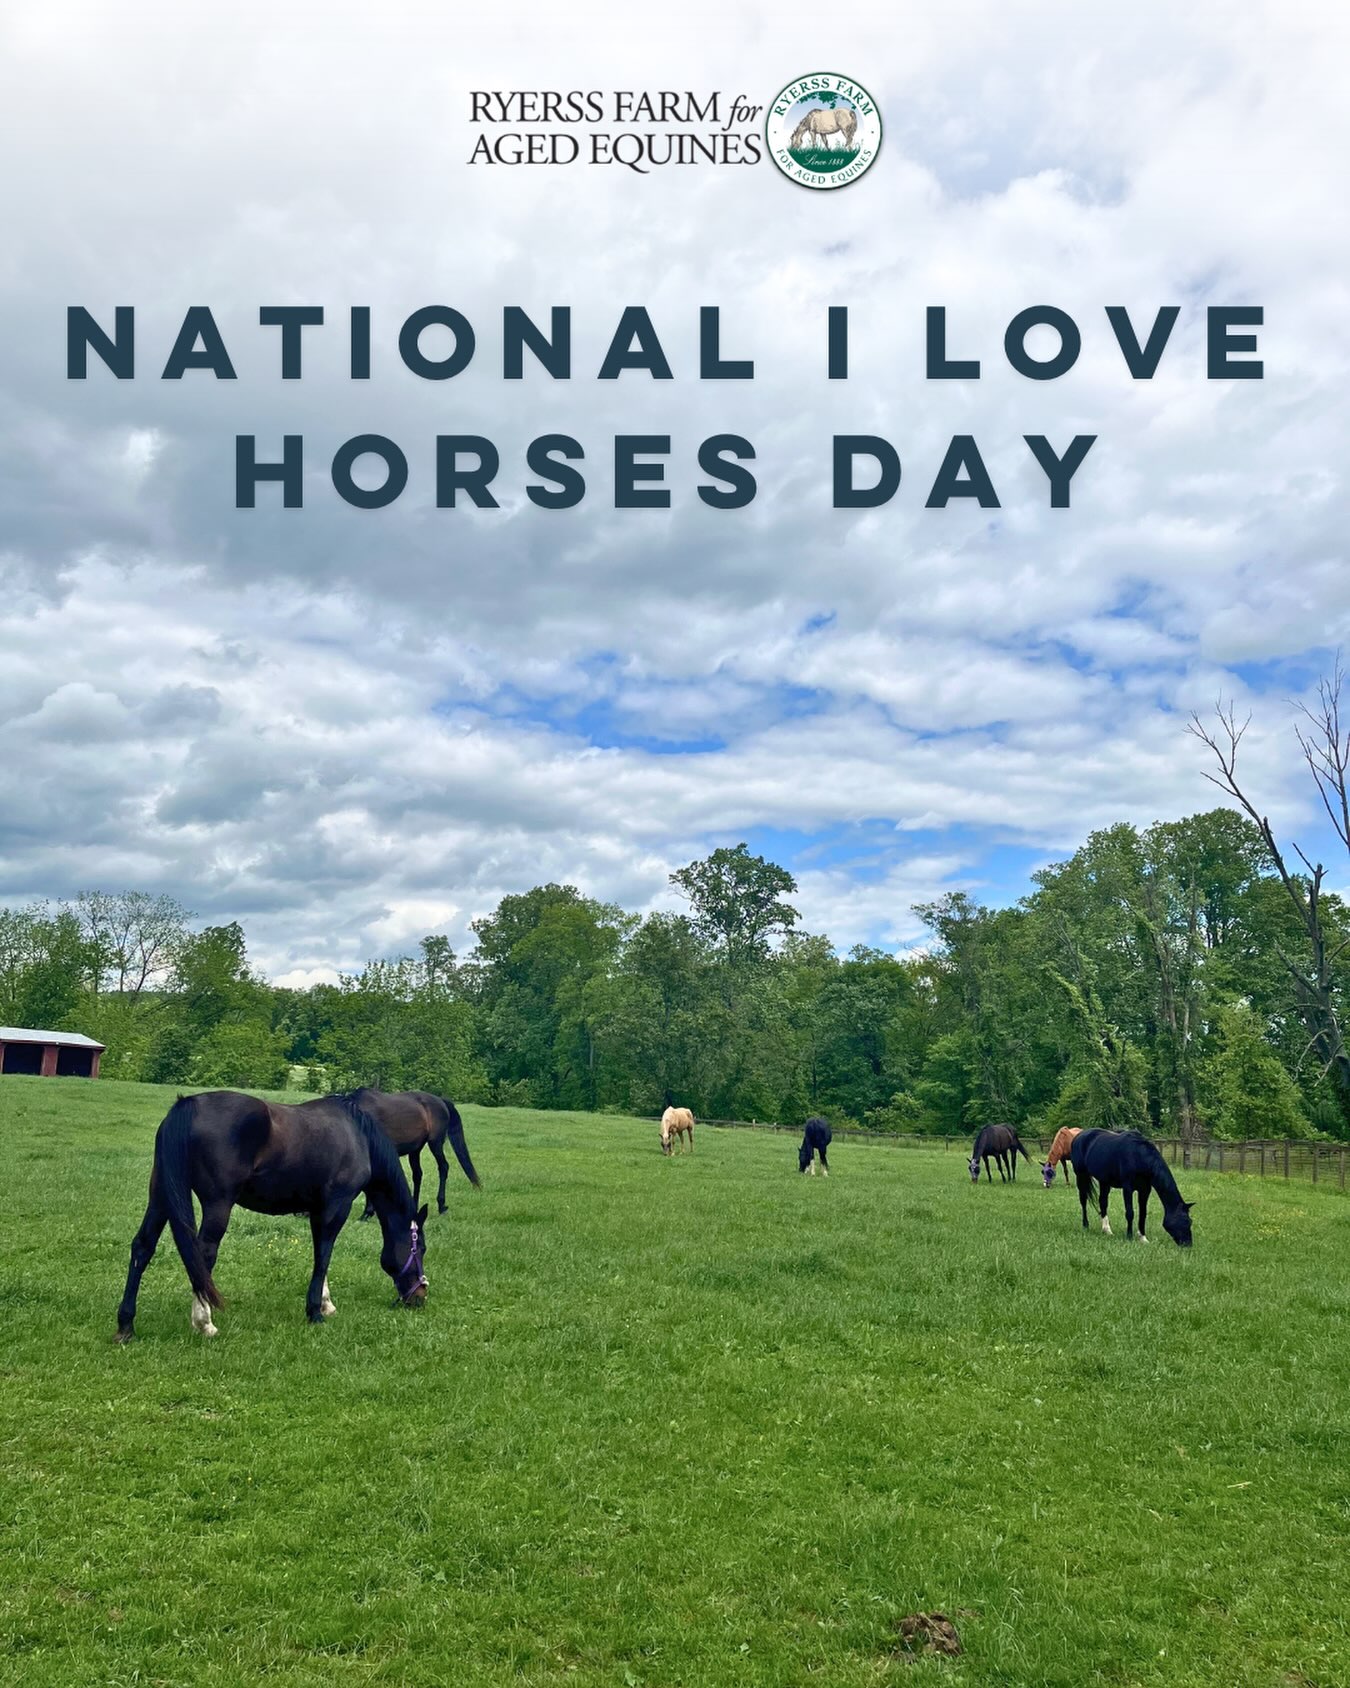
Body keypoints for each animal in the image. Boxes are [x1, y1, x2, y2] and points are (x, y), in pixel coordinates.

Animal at [115, 1090, 429, 1341]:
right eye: (421, 1248)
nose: (420, 1296)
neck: (358, 1136)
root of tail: (187, 1104)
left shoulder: (318, 1209)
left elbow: (322, 1255)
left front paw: (326, 1303)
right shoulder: (336, 1206)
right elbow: (324, 1256)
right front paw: (315, 1311)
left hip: (161, 1196)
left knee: (143, 1247)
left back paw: (126, 1325)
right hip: (217, 1204)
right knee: (202, 1255)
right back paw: (205, 1323)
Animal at [349, 1089, 480, 1221]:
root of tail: (441, 1100)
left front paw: (367, 1213)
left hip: (435, 1143)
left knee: (443, 1167)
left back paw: (441, 1206)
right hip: (415, 1150)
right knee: (418, 1175)